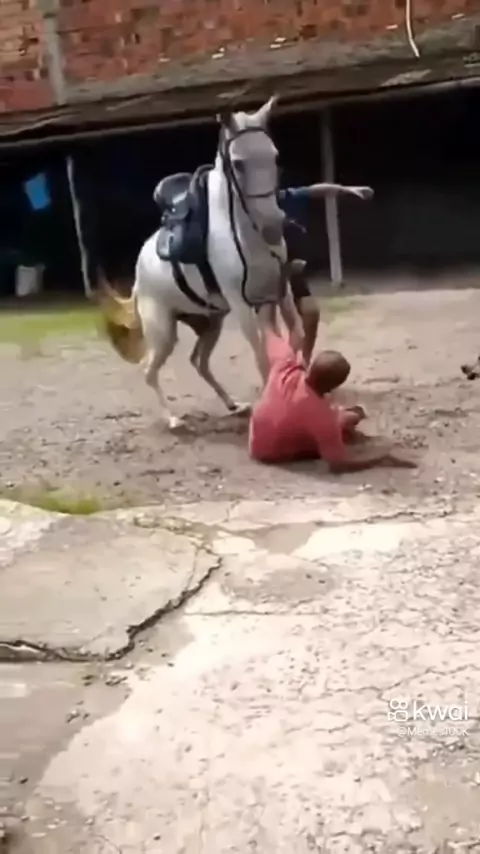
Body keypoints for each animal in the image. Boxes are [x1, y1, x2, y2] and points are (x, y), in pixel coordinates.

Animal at [99, 95, 302, 430]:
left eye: (274, 156)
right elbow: (262, 355)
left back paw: (234, 405)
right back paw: (173, 420)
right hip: (163, 333)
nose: (274, 225)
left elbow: (294, 339)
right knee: (149, 370)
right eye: (238, 163)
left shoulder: (277, 292)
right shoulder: (242, 304)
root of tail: (139, 277)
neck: (245, 233)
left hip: (210, 324)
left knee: (199, 363)